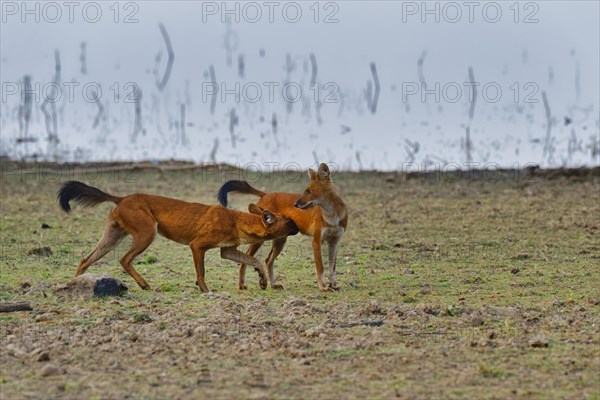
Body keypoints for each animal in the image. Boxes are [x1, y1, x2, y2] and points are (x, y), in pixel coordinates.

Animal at [58, 180, 298, 290]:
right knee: (124, 259)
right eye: (289, 220)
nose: (298, 225)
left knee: (85, 259)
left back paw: (73, 283)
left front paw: (263, 280)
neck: (236, 220)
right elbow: (201, 272)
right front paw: (205, 290)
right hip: (148, 233)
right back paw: (144, 284)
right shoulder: (197, 245)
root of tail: (123, 197)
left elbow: (253, 260)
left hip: (112, 238)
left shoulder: (227, 250)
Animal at [217, 162, 346, 290]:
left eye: (309, 191)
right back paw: (242, 284)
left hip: (280, 239)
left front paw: (334, 285)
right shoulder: (316, 241)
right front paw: (323, 287)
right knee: (247, 258)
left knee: (268, 260)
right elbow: (320, 268)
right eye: (305, 190)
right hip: (261, 238)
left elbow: (332, 268)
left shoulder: (334, 242)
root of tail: (267, 194)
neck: (332, 216)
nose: (296, 204)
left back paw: (273, 284)